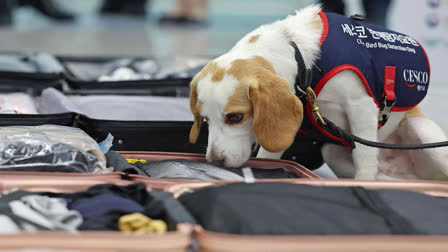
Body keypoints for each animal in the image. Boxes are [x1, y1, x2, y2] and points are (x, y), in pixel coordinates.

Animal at [187, 4, 448, 180]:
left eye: (235, 117)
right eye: (205, 120)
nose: (215, 162)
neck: (302, 60)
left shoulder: (361, 106)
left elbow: (364, 158)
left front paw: (364, 182)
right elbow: (268, 155)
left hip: (425, 134)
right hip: (333, 151)